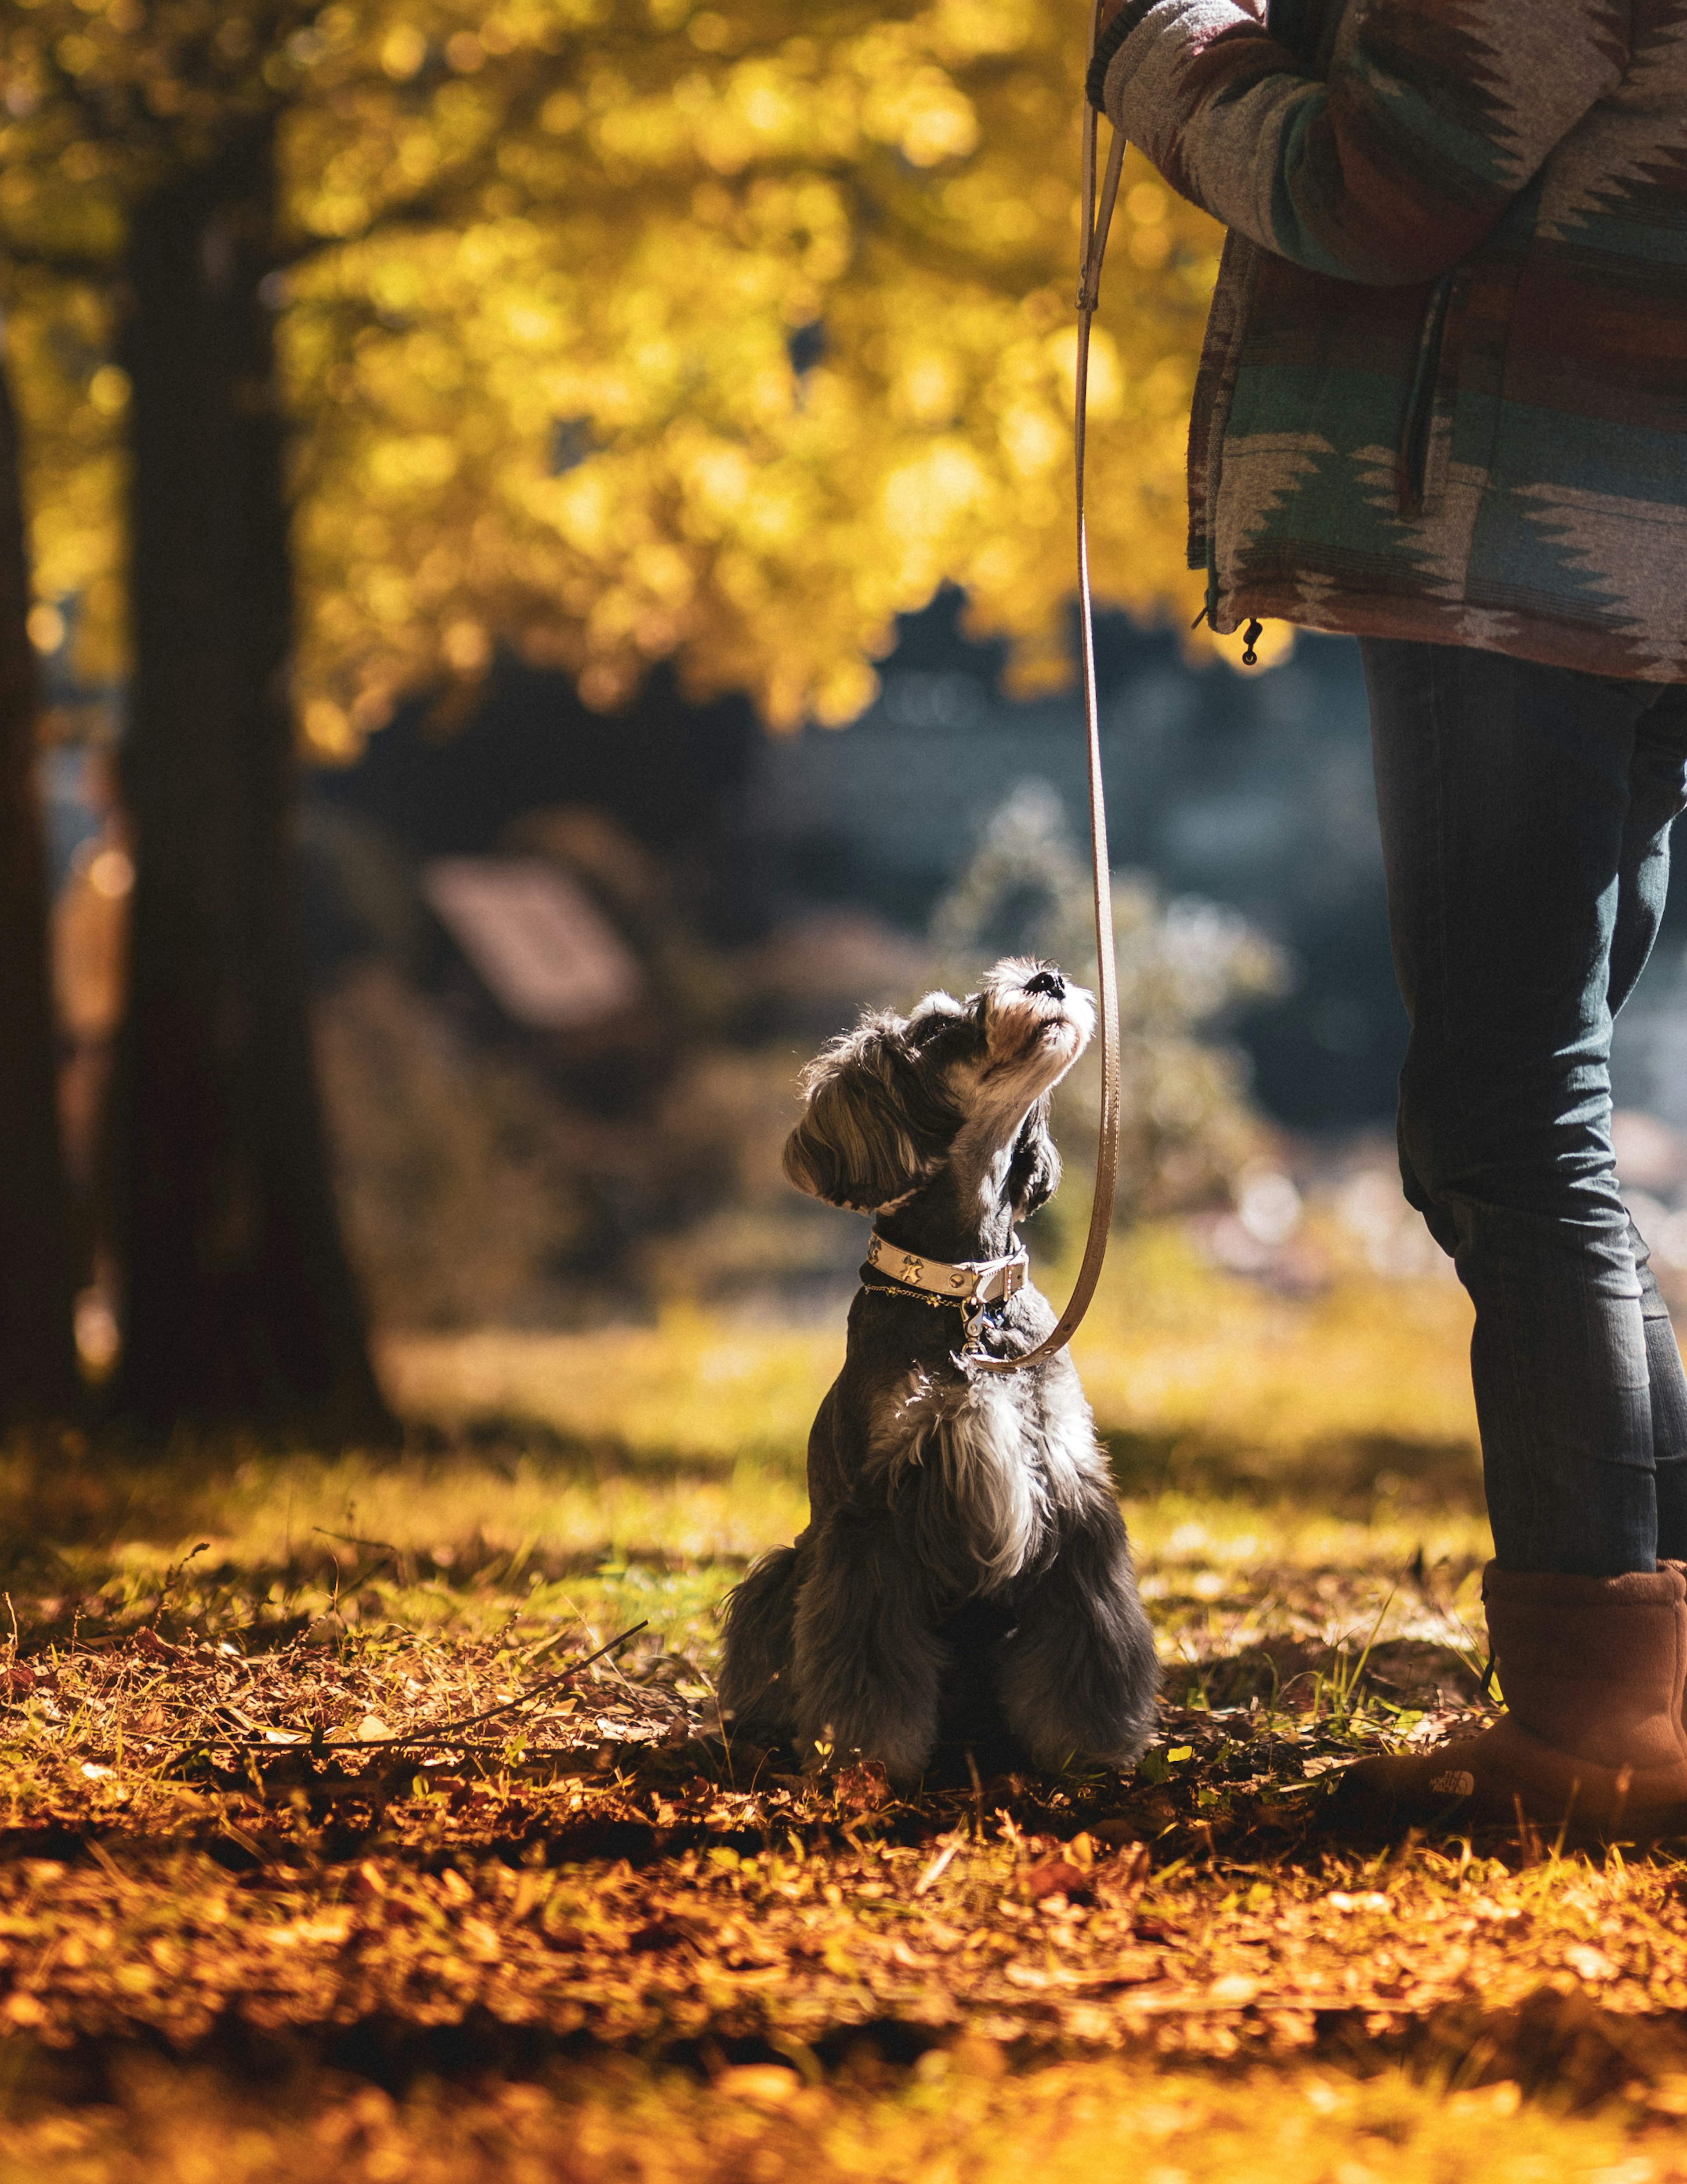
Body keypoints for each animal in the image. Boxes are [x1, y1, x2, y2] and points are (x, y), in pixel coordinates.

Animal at [711, 965, 1161, 1782]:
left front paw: (1092, 1742)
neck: (966, 1294)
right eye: (938, 1028)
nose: (1047, 978)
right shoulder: (875, 1510)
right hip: (789, 1567)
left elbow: (1094, 1637)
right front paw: (866, 1753)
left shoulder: (1071, 1485)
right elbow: (865, 1654)